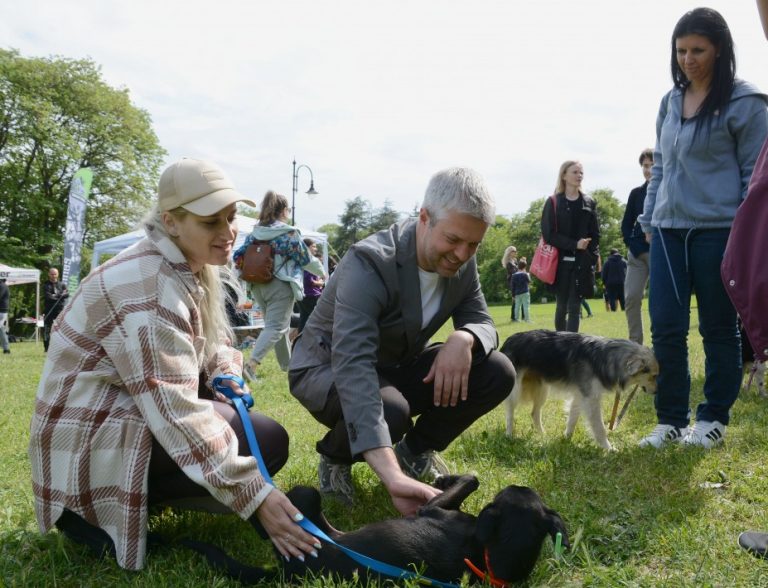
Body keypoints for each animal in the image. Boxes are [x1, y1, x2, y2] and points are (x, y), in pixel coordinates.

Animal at [195, 476, 568, 584]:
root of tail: (287, 570)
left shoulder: (432, 510)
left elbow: (470, 479)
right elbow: (470, 480)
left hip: (303, 498)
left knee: (266, 517)